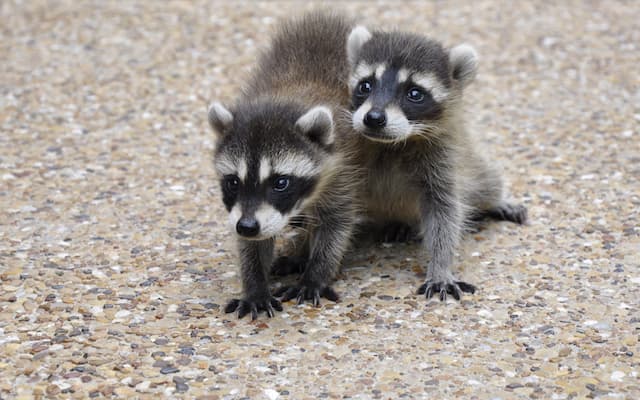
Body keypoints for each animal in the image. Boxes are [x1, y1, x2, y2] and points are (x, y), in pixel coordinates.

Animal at [210, 11, 360, 318]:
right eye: (233, 182)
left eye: (281, 182)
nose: (246, 226)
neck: (284, 98)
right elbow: (253, 244)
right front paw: (255, 284)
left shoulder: (340, 167)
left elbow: (337, 222)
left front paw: (317, 273)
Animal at [348, 25, 528, 300]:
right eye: (365, 85)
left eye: (414, 93)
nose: (374, 118)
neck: (393, 144)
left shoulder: (444, 157)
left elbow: (444, 212)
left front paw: (441, 266)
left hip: (471, 165)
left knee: (487, 182)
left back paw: (497, 199)